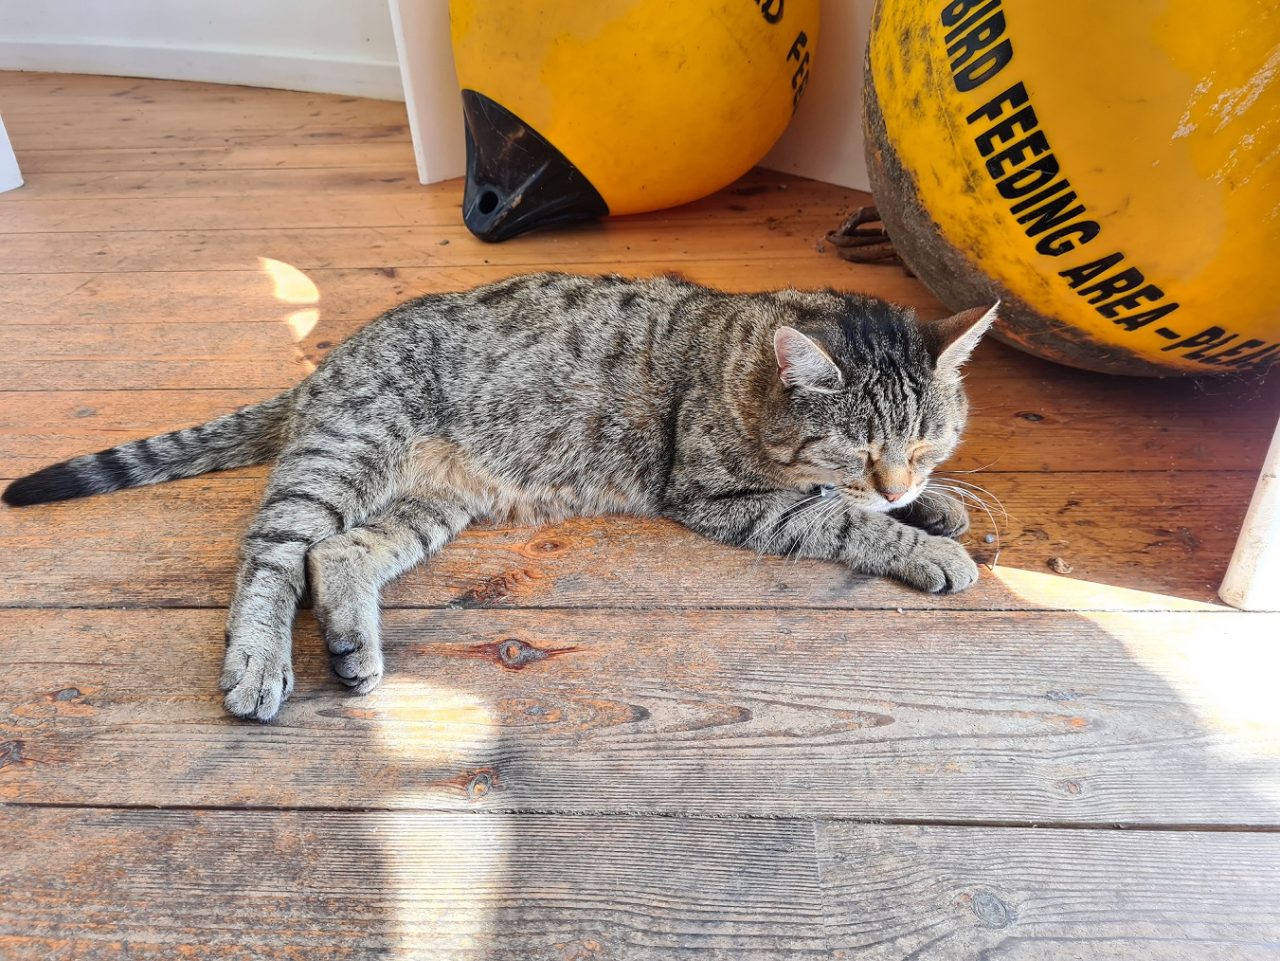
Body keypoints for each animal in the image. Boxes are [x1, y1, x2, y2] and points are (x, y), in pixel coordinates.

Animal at [0, 272, 993, 721]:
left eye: (925, 441)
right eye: (861, 447)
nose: (904, 476)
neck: (744, 361)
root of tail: (322, 366)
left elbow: (880, 505)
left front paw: (936, 507)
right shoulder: (720, 494)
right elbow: (837, 515)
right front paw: (926, 543)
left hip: (429, 504)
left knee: (336, 552)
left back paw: (353, 650)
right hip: (343, 458)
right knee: (273, 555)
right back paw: (258, 662)